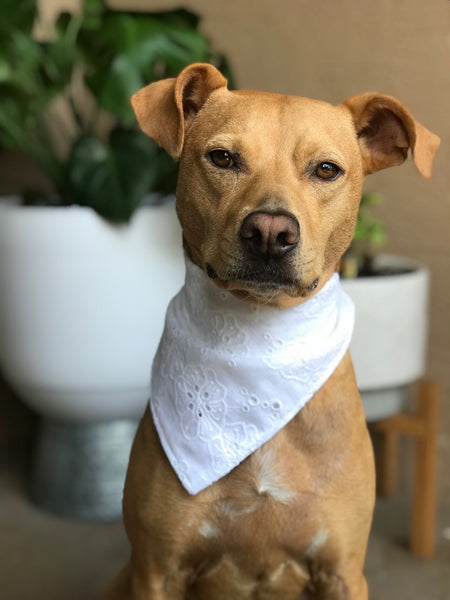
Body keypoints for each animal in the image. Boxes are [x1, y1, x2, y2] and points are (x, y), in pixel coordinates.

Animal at [106, 63, 440, 596]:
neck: (259, 345)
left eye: (326, 169)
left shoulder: (343, 572)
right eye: (222, 158)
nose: (269, 232)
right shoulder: (156, 570)